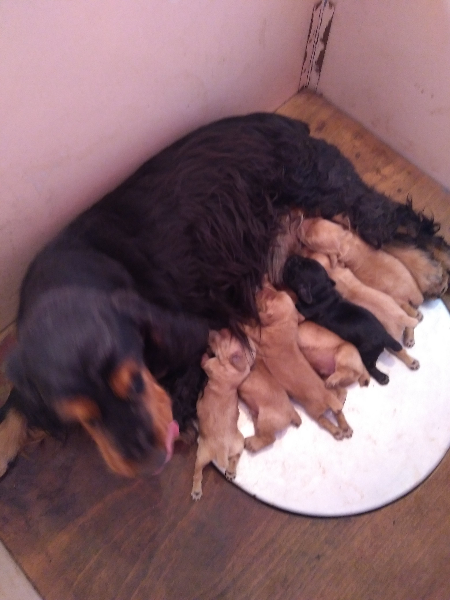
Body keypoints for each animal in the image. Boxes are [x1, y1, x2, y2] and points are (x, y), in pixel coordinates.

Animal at [191, 330, 252, 500]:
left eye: (222, 340)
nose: (210, 331)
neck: (233, 367)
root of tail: (222, 449)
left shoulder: (210, 365)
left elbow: (205, 361)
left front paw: (205, 353)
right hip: (239, 441)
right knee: (236, 456)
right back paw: (231, 471)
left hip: (201, 455)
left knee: (197, 473)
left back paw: (196, 490)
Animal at [245, 285, 352, 440]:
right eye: (276, 292)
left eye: (268, 297)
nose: (260, 288)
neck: (284, 325)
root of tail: (329, 397)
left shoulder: (258, 335)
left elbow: (250, 328)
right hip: (333, 402)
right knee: (339, 414)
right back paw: (345, 428)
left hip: (314, 411)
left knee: (324, 420)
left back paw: (337, 431)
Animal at [283, 255, 410, 385]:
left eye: (297, 266)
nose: (292, 256)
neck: (322, 292)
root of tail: (384, 335)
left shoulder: (304, 309)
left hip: (366, 352)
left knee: (370, 366)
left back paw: (381, 377)